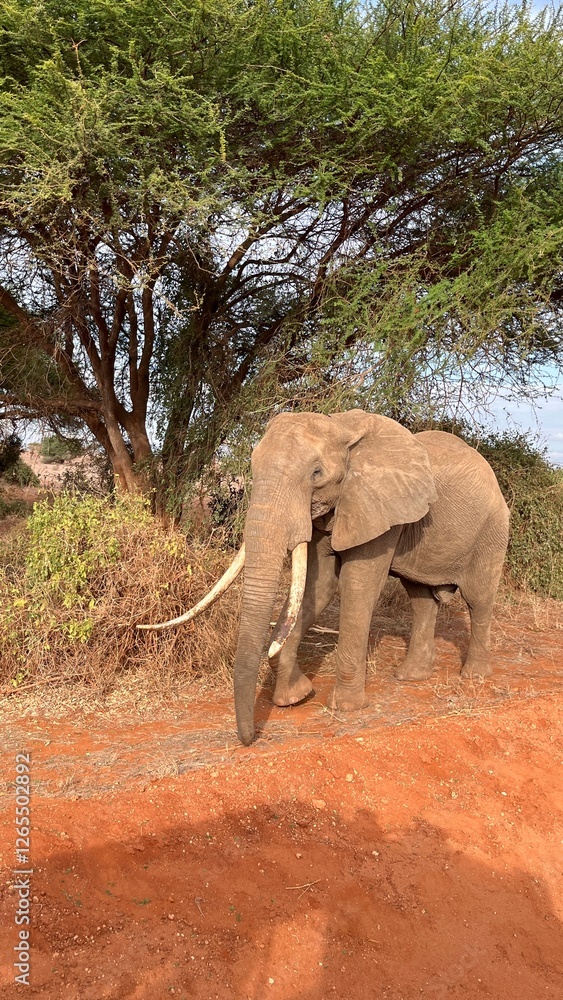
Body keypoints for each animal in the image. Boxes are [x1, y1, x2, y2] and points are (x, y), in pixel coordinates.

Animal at [140, 410, 510, 747]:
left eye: (316, 474)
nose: (250, 739)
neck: (340, 425)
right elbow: (318, 585)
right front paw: (295, 697)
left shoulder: (375, 506)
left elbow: (358, 585)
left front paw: (345, 708)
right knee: (420, 597)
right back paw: (410, 677)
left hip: (492, 530)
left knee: (478, 599)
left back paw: (473, 676)